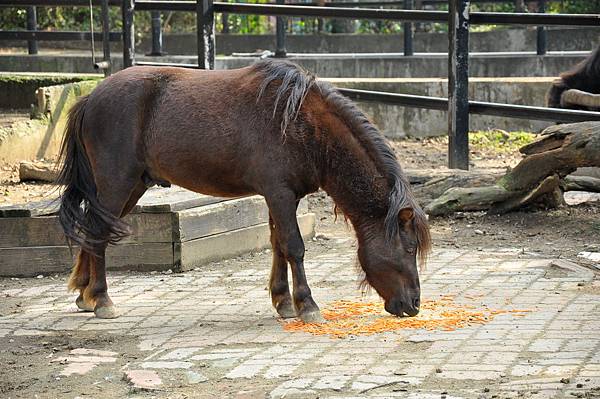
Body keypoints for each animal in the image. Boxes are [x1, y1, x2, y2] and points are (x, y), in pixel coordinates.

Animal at [57, 59, 432, 322]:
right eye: (409, 248)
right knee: (99, 234)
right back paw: (102, 299)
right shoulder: (279, 194)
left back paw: (85, 294)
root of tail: (91, 97)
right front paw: (307, 305)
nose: (414, 304)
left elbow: (278, 244)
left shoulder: (282, 197)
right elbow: (294, 247)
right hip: (117, 183)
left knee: (92, 231)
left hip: (132, 186)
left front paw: (283, 301)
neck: (302, 124)